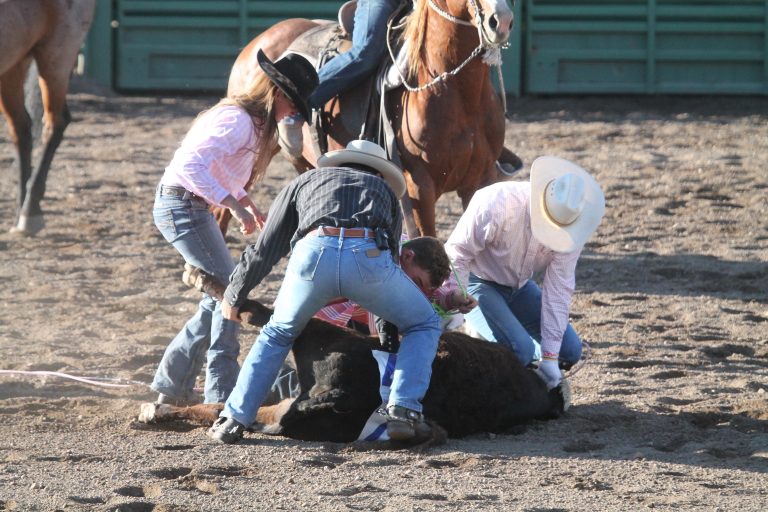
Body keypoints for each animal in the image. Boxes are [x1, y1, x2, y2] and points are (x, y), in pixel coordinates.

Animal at [0, 0, 96, 236]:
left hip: (57, 56)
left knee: (55, 124)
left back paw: (29, 212)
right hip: (13, 63)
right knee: (22, 129)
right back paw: (20, 211)